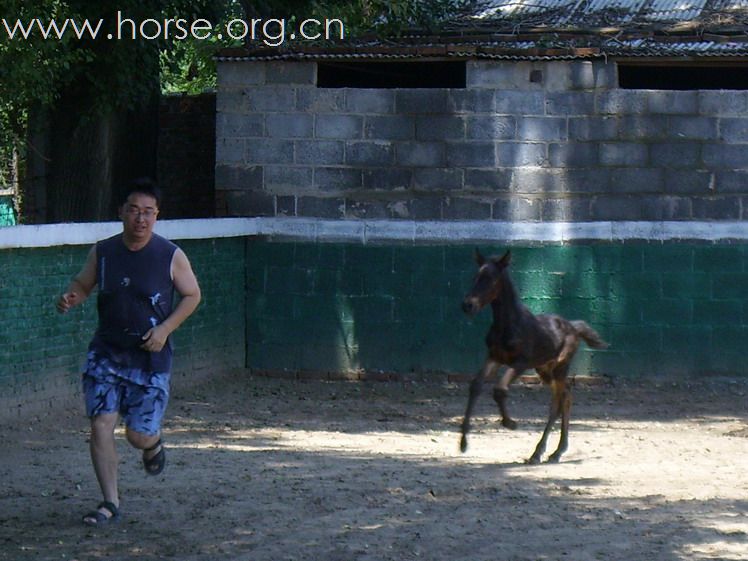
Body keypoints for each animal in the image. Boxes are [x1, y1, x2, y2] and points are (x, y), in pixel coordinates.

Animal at [456, 249, 608, 464]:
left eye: (491, 279)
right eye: (475, 277)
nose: (468, 305)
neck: (507, 325)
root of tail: (573, 326)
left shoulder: (521, 362)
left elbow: (499, 389)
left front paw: (510, 423)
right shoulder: (494, 357)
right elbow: (476, 385)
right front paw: (463, 442)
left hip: (559, 367)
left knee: (559, 400)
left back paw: (543, 453)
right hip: (544, 369)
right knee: (564, 396)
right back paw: (553, 451)